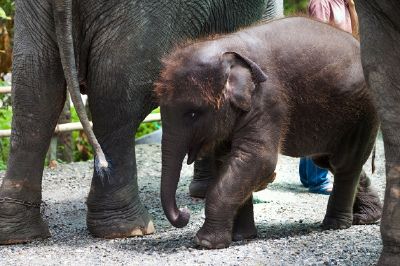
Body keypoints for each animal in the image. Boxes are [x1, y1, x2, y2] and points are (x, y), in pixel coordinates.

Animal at [0, 0, 278, 244]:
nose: (186, 213)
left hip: (33, 16)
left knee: (33, 85)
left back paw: (19, 234)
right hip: (144, 15)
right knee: (118, 94)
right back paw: (129, 229)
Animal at [155, 17, 380, 249]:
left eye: (192, 114)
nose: (184, 214)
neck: (226, 45)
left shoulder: (268, 100)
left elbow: (257, 160)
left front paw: (205, 243)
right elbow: (228, 160)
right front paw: (242, 237)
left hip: (364, 111)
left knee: (345, 163)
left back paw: (334, 225)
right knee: (327, 160)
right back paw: (367, 217)